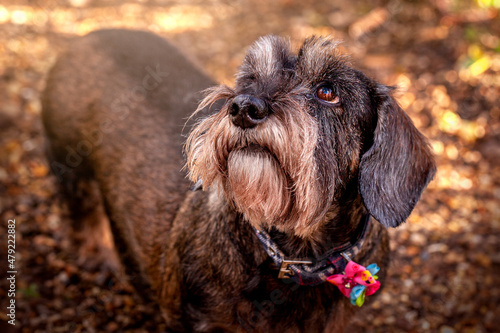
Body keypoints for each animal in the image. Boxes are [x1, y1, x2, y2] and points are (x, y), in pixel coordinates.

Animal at [42, 29, 434, 330]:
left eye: (327, 91)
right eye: (250, 79)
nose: (244, 107)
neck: (296, 257)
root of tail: (86, 37)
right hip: (69, 164)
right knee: (82, 210)